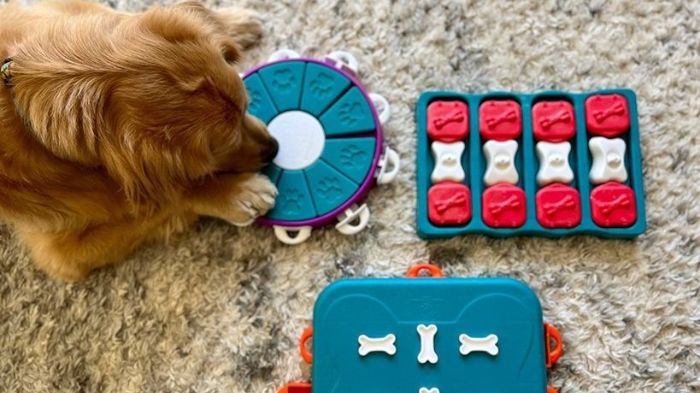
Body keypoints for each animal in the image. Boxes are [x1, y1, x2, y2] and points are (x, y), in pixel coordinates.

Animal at [0, 0, 278, 278]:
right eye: (221, 148)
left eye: (245, 107)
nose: (274, 149)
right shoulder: (62, 254)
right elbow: (170, 198)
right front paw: (236, 192)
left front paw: (231, 22)